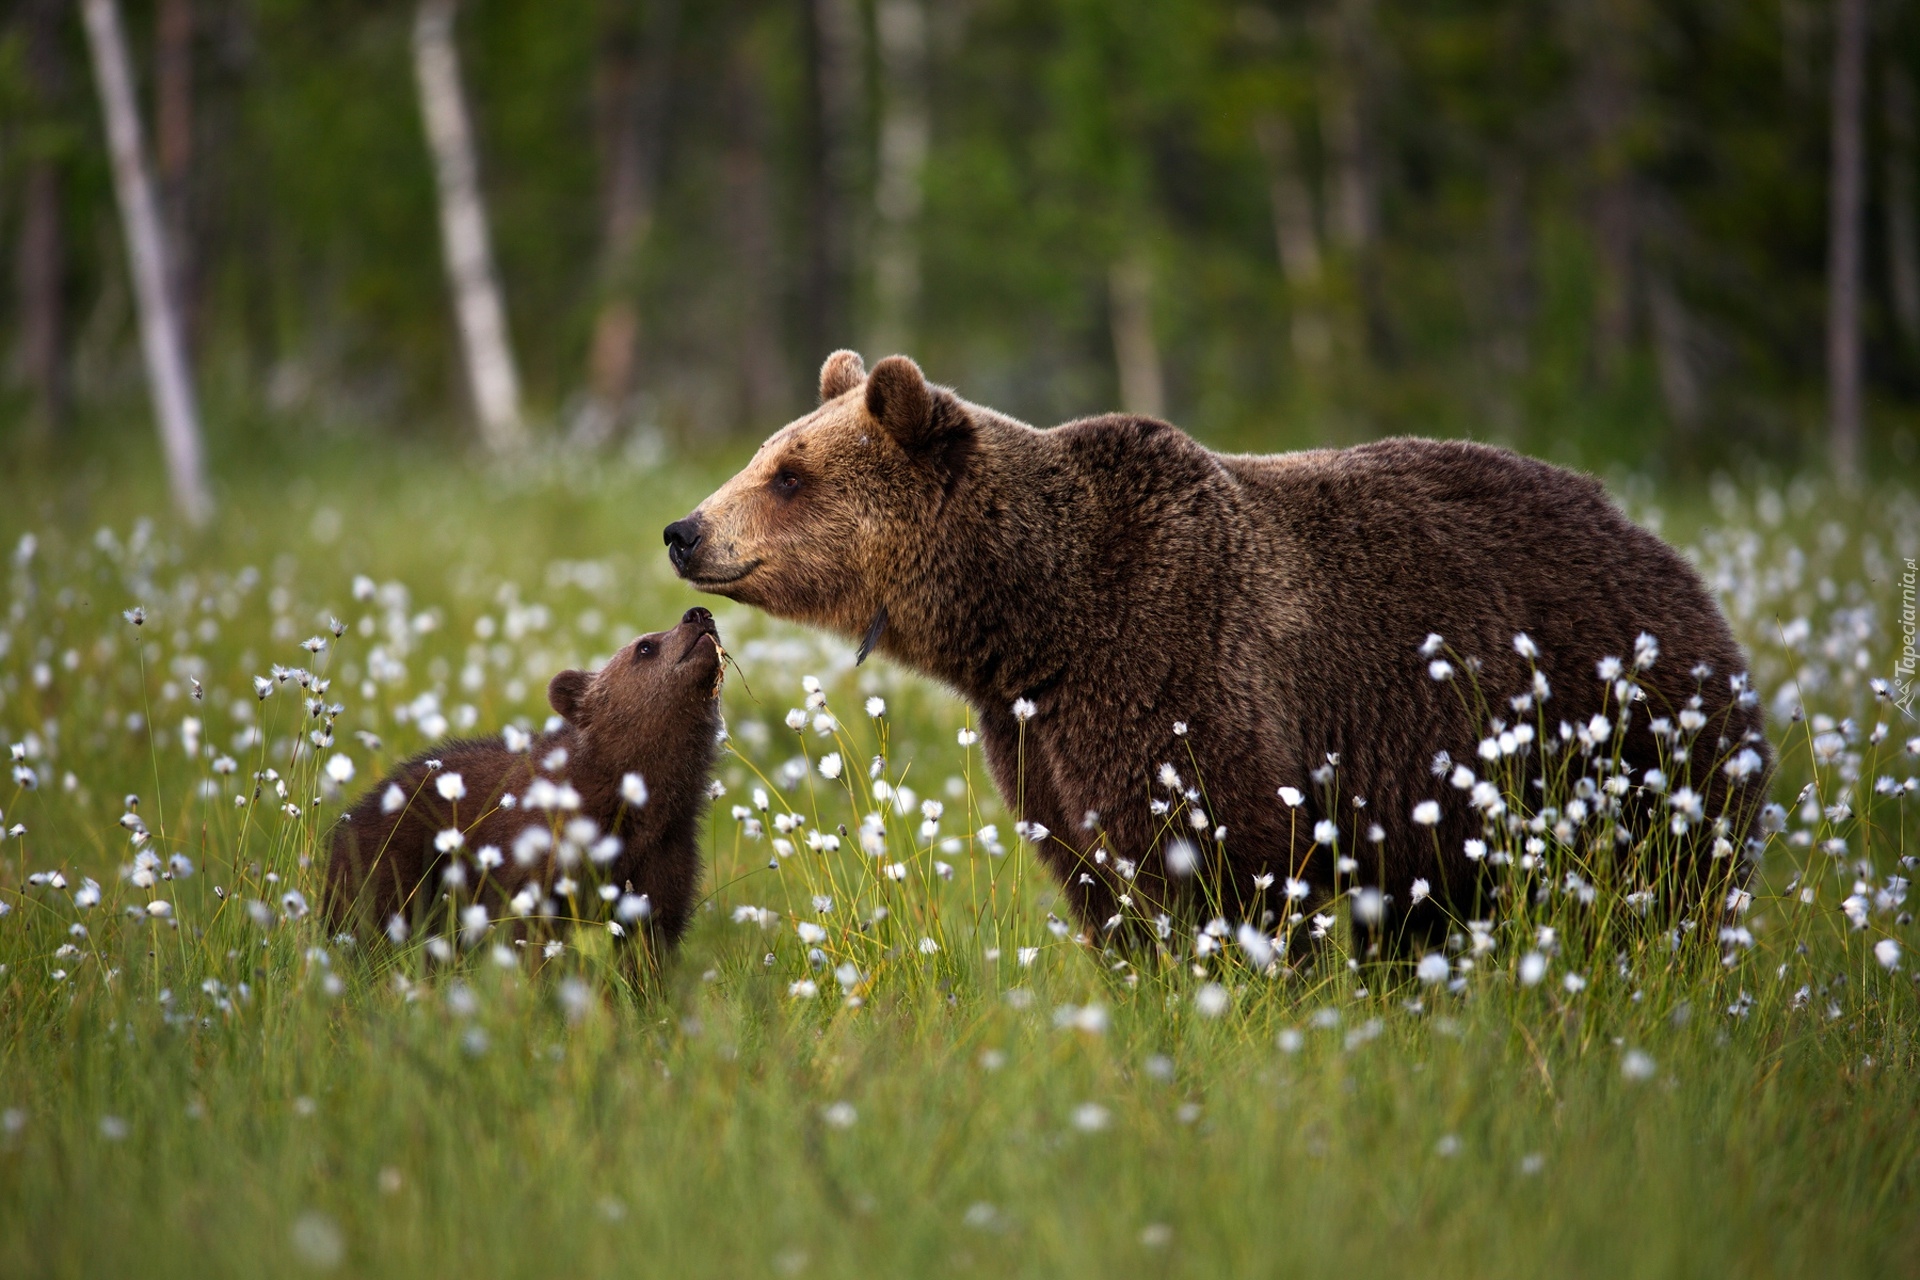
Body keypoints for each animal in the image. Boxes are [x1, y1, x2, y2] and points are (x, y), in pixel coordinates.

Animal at [326, 606, 721, 955]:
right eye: (645, 647)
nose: (699, 613)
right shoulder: (538, 855)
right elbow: (528, 934)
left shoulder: (663, 858)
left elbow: (648, 942)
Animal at [664, 351, 1766, 951]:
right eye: (767, 454)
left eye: (790, 473)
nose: (685, 528)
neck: (1036, 617)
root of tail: (1672, 557)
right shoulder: (1038, 736)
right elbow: (1097, 879)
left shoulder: (1176, 665)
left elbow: (1225, 857)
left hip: (1624, 739)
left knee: (1665, 882)